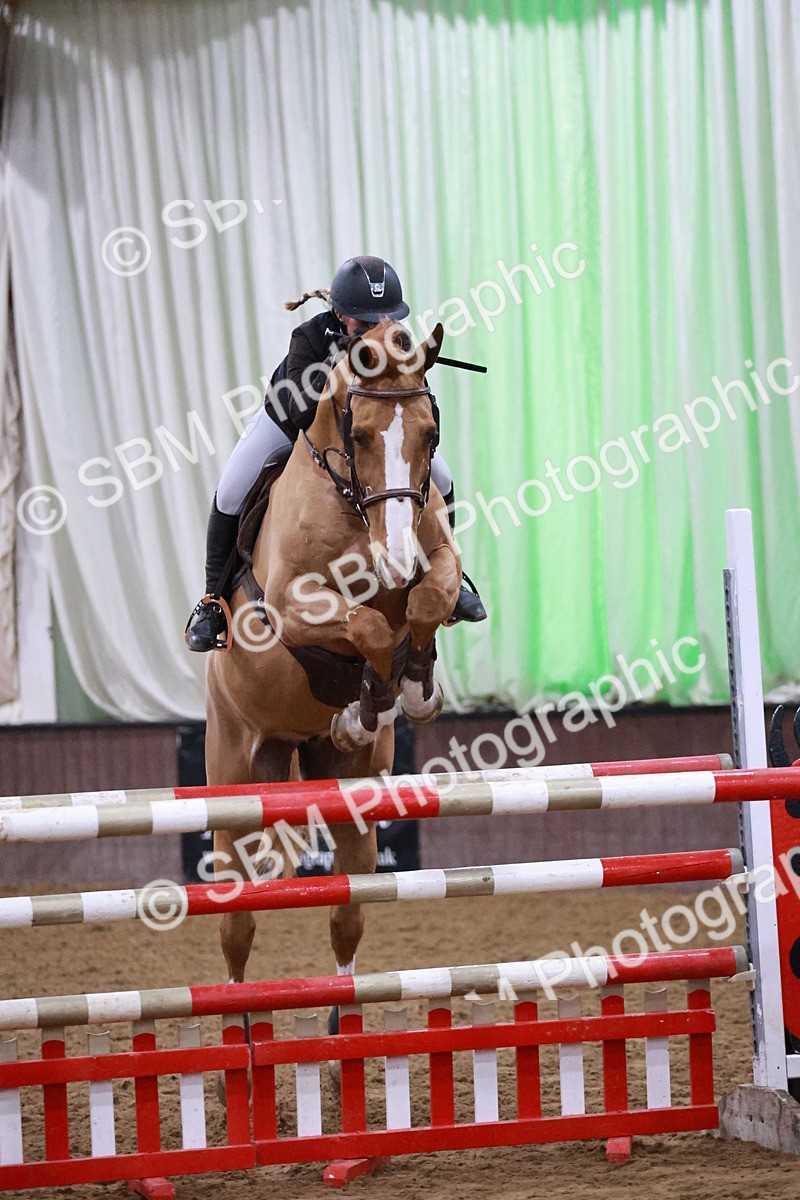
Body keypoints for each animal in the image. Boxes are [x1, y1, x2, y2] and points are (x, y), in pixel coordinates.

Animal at [205, 320, 461, 989]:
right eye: (362, 434)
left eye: (430, 433)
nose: (395, 557)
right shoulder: (290, 605)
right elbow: (367, 626)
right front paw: (368, 705)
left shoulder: (438, 563)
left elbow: (424, 603)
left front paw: (410, 693)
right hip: (233, 784)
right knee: (236, 928)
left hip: (350, 795)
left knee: (346, 917)